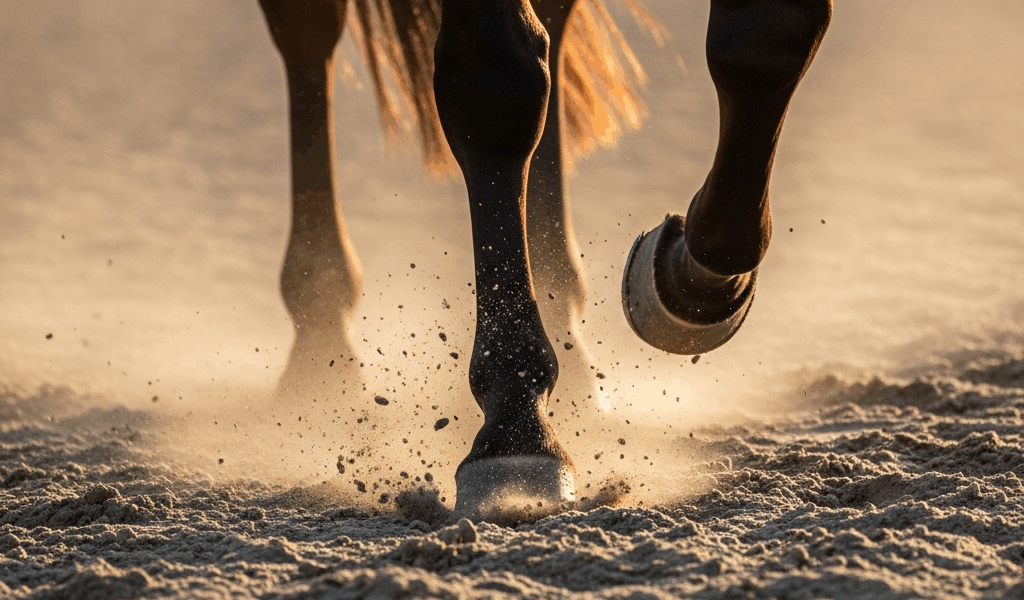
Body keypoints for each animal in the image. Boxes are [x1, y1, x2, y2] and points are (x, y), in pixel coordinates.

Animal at [256, 0, 831, 521]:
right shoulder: (489, 68)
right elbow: (498, 80)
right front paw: (516, 425)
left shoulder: (770, 42)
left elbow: (768, 40)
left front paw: (691, 279)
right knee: (308, 31)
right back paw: (321, 332)